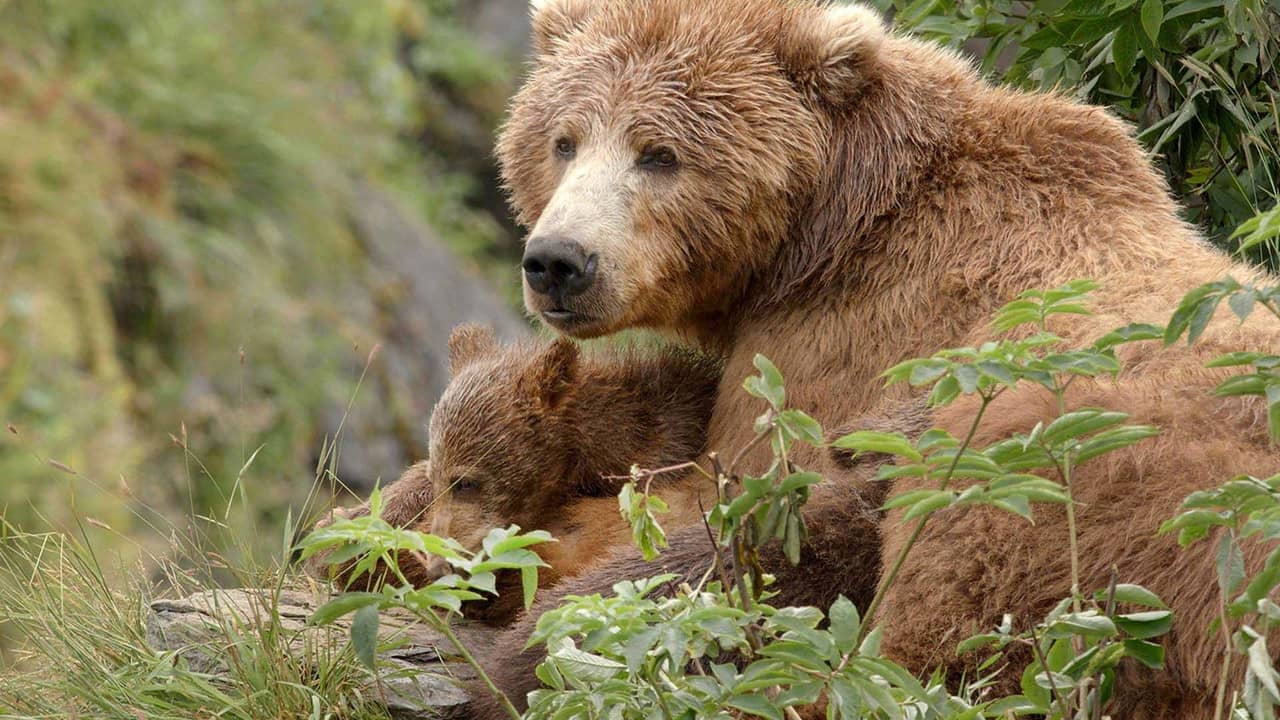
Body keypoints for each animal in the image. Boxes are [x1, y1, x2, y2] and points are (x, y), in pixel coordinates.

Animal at [463, 0, 1280, 717]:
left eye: (659, 154)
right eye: (563, 140)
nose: (560, 261)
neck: (825, 230)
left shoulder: (837, 347)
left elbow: (711, 497)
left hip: (1067, 472)